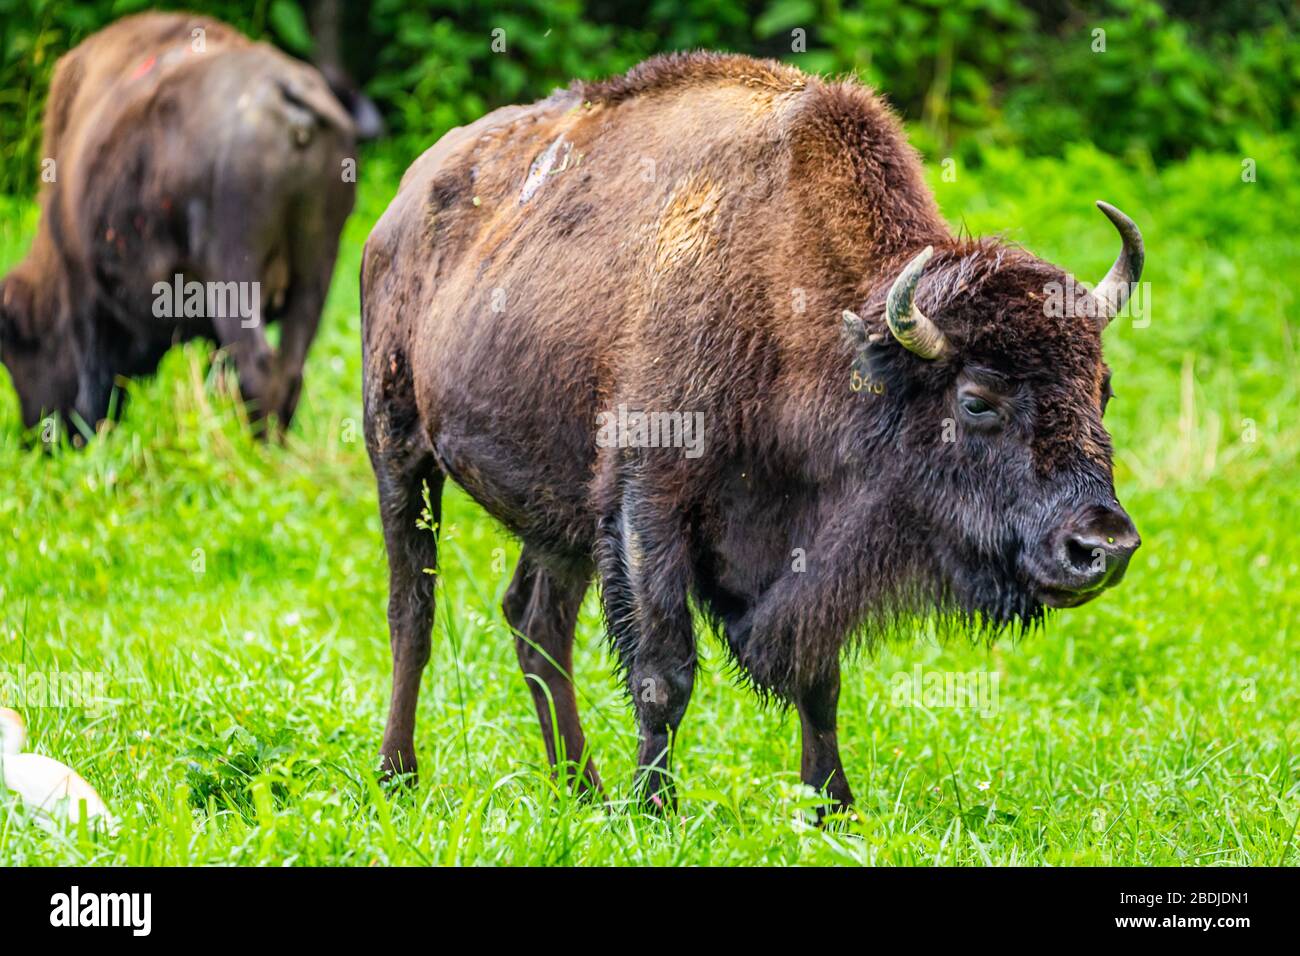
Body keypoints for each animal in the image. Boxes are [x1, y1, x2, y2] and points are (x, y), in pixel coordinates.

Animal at [0, 13, 357, 436]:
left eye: (20, 350)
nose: (36, 436)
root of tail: (287, 94)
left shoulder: (83, 293)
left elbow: (94, 383)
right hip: (316, 270)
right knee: (288, 371)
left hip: (235, 275)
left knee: (257, 369)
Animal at [360, 53, 1143, 812]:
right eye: (977, 400)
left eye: (1101, 388)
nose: (1102, 545)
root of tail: (400, 207)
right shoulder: (648, 506)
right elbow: (663, 672)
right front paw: (655, 810)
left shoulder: (802, 550)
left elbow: (818, 677)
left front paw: (832, 805)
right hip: (399, 453)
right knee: (412, 615)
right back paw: (400, 776)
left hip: (559, 515)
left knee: (536, 622)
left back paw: (579, 789)